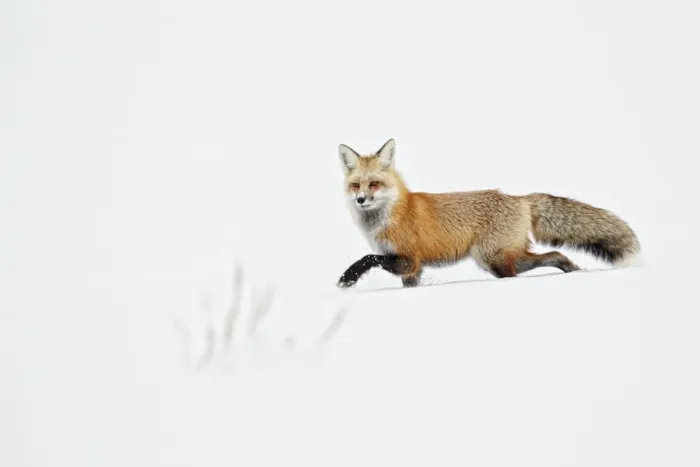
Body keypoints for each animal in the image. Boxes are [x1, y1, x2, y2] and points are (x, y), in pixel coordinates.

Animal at [336, 138, 641, 288]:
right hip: (501, 258)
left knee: (520, 274)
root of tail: (518, 199)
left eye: (375, 184)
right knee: (555, 254)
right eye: (356, 185)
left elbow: (369, 258)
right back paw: (573, 271)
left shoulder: (410, 259)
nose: (361, 199)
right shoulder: (412, 270)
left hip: (491, 259)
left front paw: (347, 278)